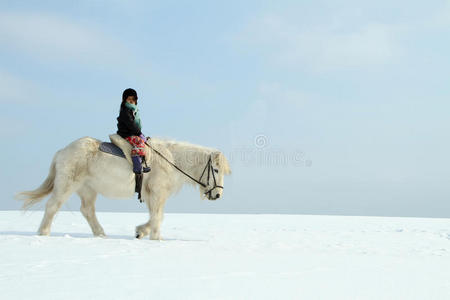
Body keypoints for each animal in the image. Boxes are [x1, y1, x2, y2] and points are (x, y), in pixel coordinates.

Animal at [15, 137, 230, 240]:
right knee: (53, 205)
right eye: (216, 169)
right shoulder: (158, 193)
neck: (171, 160)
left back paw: (101, 234)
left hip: (88, 189)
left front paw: (142, 232)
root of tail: (62, 151)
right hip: (67, 184)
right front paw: (154, 236)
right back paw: (43, 233)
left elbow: (155, 216)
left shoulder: (151, 195)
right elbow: (158, 216)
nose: (218, 194)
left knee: (87, 210)